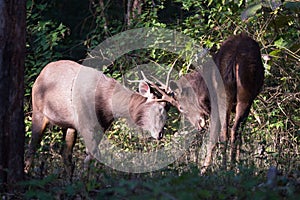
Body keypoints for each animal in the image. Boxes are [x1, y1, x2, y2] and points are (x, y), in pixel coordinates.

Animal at [24, 59, 179, 177]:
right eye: (159, 107)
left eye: (168, 109)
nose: (160, 134)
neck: (107, 106)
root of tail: (40, 75)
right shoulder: (86, 125)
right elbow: (92, 156)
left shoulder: (101, 127)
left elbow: (90, 158)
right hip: (38, 111)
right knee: (31, 148)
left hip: (70, 125)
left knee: (66, 155)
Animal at [170, 32, 264, 169]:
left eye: (181, 107)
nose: (198, 126)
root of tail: (235, 57)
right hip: (242, 96)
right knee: (232, 131)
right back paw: (230, 166)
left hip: (229, 97)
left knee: (226, 132)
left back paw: (225, 167)